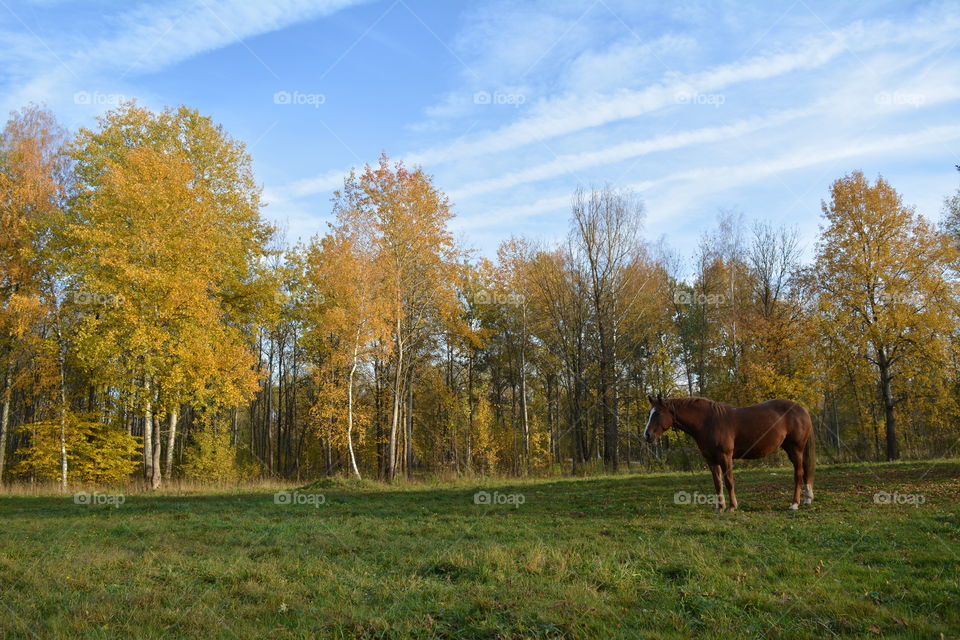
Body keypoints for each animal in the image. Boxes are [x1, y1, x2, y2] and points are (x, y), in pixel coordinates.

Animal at [644, 396, 816, 510]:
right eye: (649, 413)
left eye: (657, 413)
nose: (647, 435)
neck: (708, 421)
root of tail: (802, 409)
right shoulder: (711, 460)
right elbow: (717, 483)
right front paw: (719, 507)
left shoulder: (725, 457)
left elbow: (729, 482)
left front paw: (732, 507)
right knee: (805, 472)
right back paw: (807, 499)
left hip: (795, 449)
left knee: (798, 474)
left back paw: (794, 504)